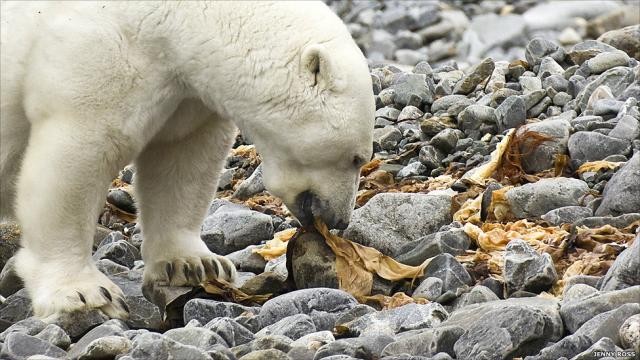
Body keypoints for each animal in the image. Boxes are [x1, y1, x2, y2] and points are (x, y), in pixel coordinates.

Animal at [0, 1, 376, 320]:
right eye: (356, 157)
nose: (339, 219)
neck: (178, 18)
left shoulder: (186, 93)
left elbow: (182, 159)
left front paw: (195, 264)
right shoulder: (100, 53)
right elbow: (78, 155)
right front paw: (82, 293)